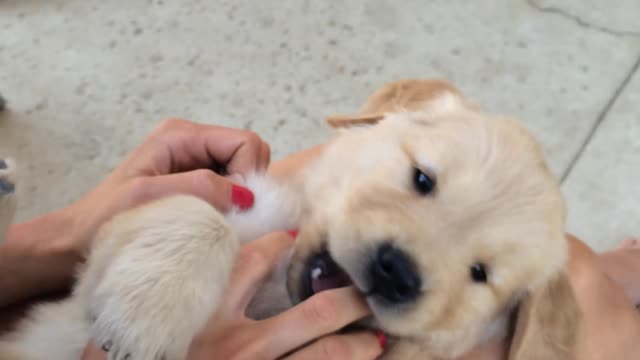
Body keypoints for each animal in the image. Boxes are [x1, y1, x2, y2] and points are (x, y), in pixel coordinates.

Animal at [0, 80, 580, 358]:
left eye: (480, 274)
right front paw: (144, 317)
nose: (397, 272)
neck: (279, 291)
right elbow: (203, 217)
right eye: (422, 178)